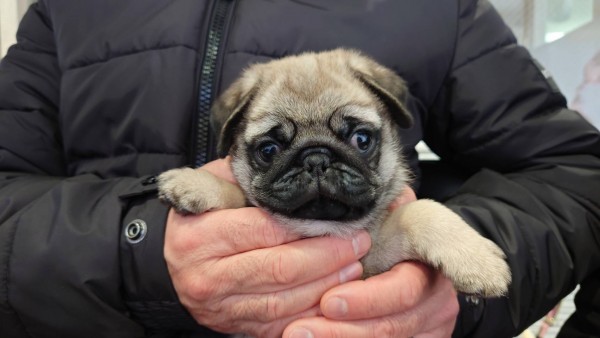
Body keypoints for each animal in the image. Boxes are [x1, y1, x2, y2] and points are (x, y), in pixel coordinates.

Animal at [158, 48, 510, 298]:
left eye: (361, 140)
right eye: (269, 150)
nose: (315, 158)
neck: (323, 226)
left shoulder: (373, 258)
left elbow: (421, 210)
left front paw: (477, 262)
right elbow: (239, 194)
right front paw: (196, 182)